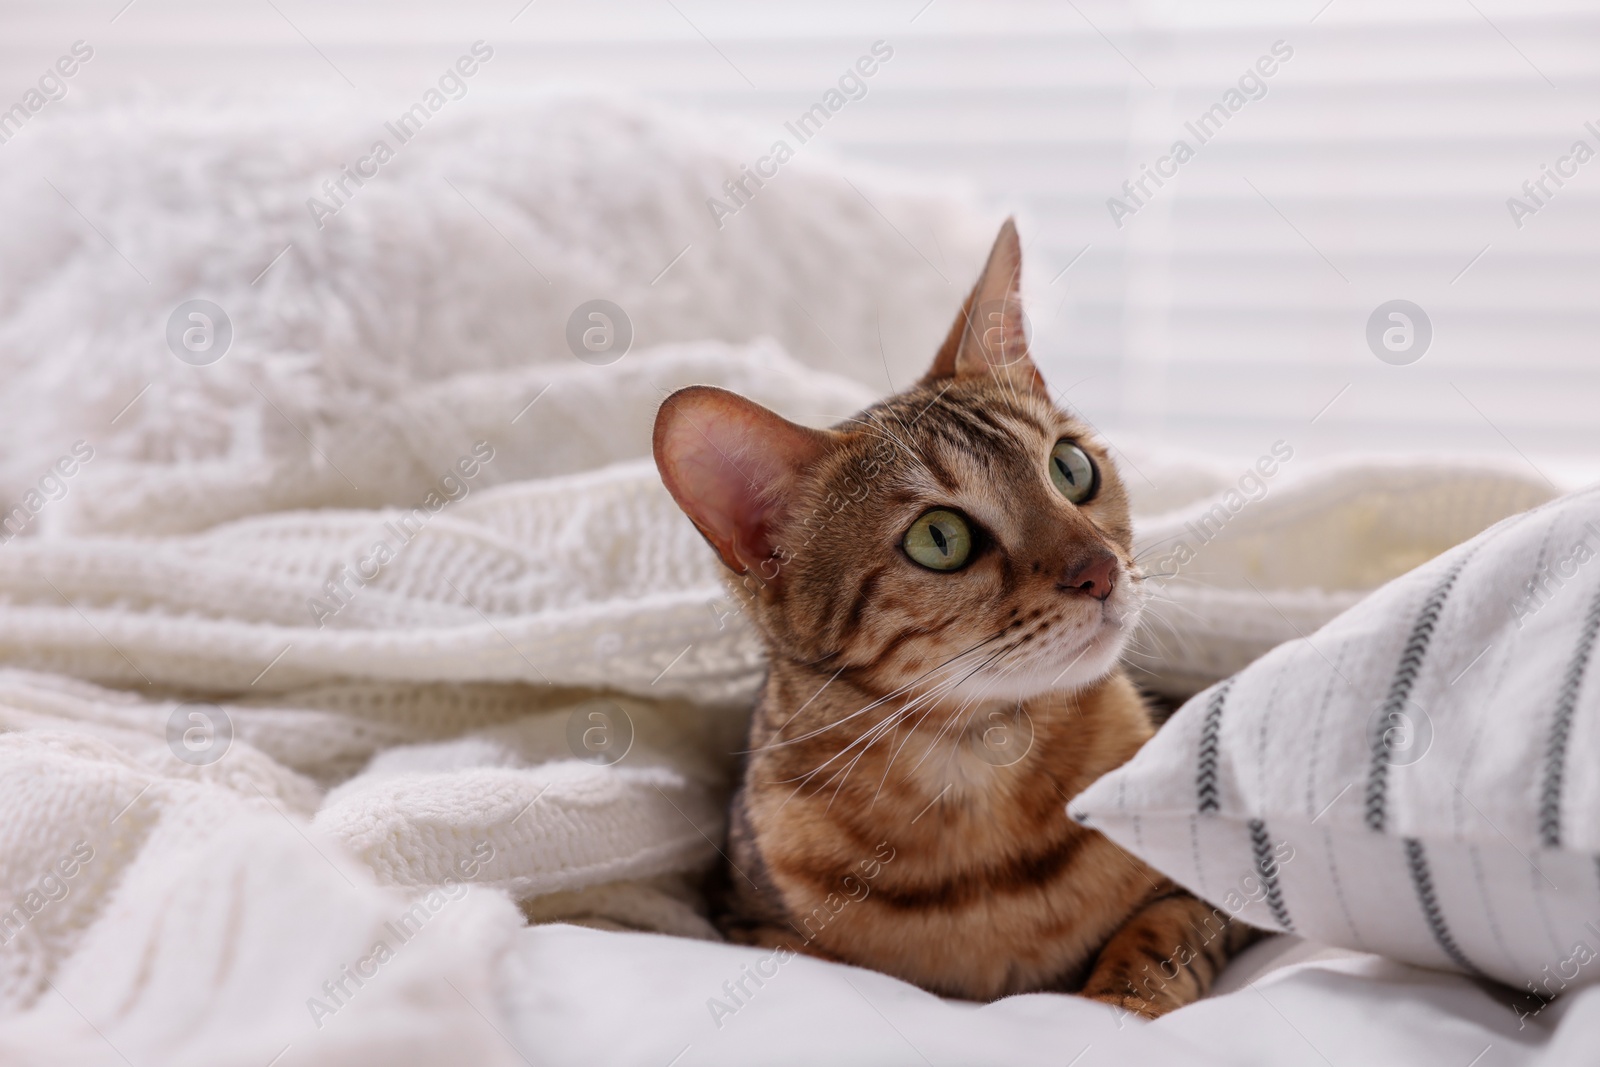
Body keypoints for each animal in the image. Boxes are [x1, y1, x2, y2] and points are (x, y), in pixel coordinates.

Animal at [649, 219, 1248, 1017]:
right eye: (940, 538)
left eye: (1071, 469)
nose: (1101, 567)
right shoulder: (745, 921)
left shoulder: (1216, 890)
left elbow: (1155, 944)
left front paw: (1108, 1004)